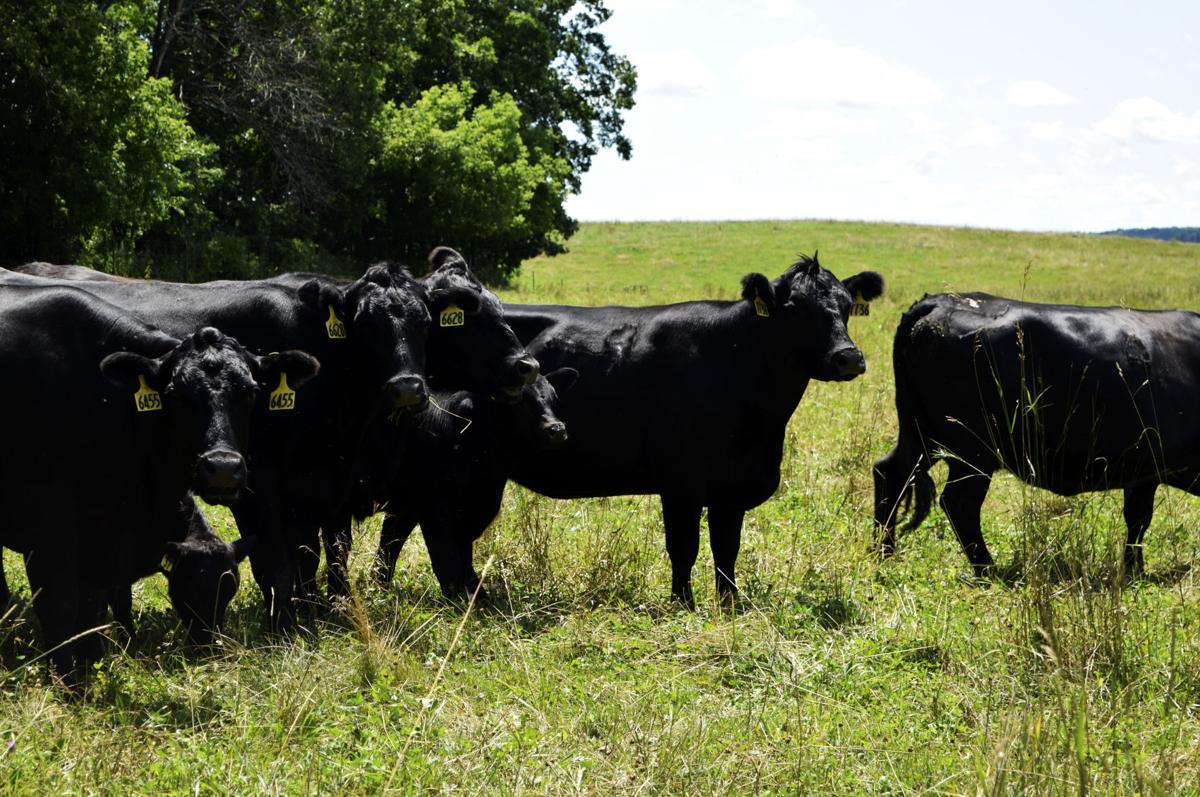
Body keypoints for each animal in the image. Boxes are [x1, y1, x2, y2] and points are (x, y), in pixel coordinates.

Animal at [0, 284, 317, 682]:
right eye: (177, 395)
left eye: (249, 392)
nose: (223, 467)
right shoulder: (47, 528)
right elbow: (61, 607)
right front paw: (68, 683)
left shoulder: (103, 541)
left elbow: (93, 609)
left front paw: (93, 668)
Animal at [364, 368, 577, 599]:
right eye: (518, 400)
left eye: (554, 398)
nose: (557, 430)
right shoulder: (431, 505)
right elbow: (446, 557)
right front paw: (457, 600)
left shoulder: (419, 507)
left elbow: (393, 547)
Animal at [500, 253, 884, 606]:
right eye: (793, 308)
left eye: (846, 305)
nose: (848, 357)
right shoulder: (680, 483)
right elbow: (684, 548)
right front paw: (682, 604)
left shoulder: (732, 488)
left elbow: (727, 549)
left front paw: (729, 604)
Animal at [873, 292, 1200, 577]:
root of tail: (940, 301)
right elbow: (1140, 520)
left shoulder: (1143, 471)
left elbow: (1137, 520)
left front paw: (1134, 570)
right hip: (973, 451)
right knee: (959, 503)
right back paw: (987, 569)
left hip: (922, 434)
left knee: (891, 472)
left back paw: (883, 550)